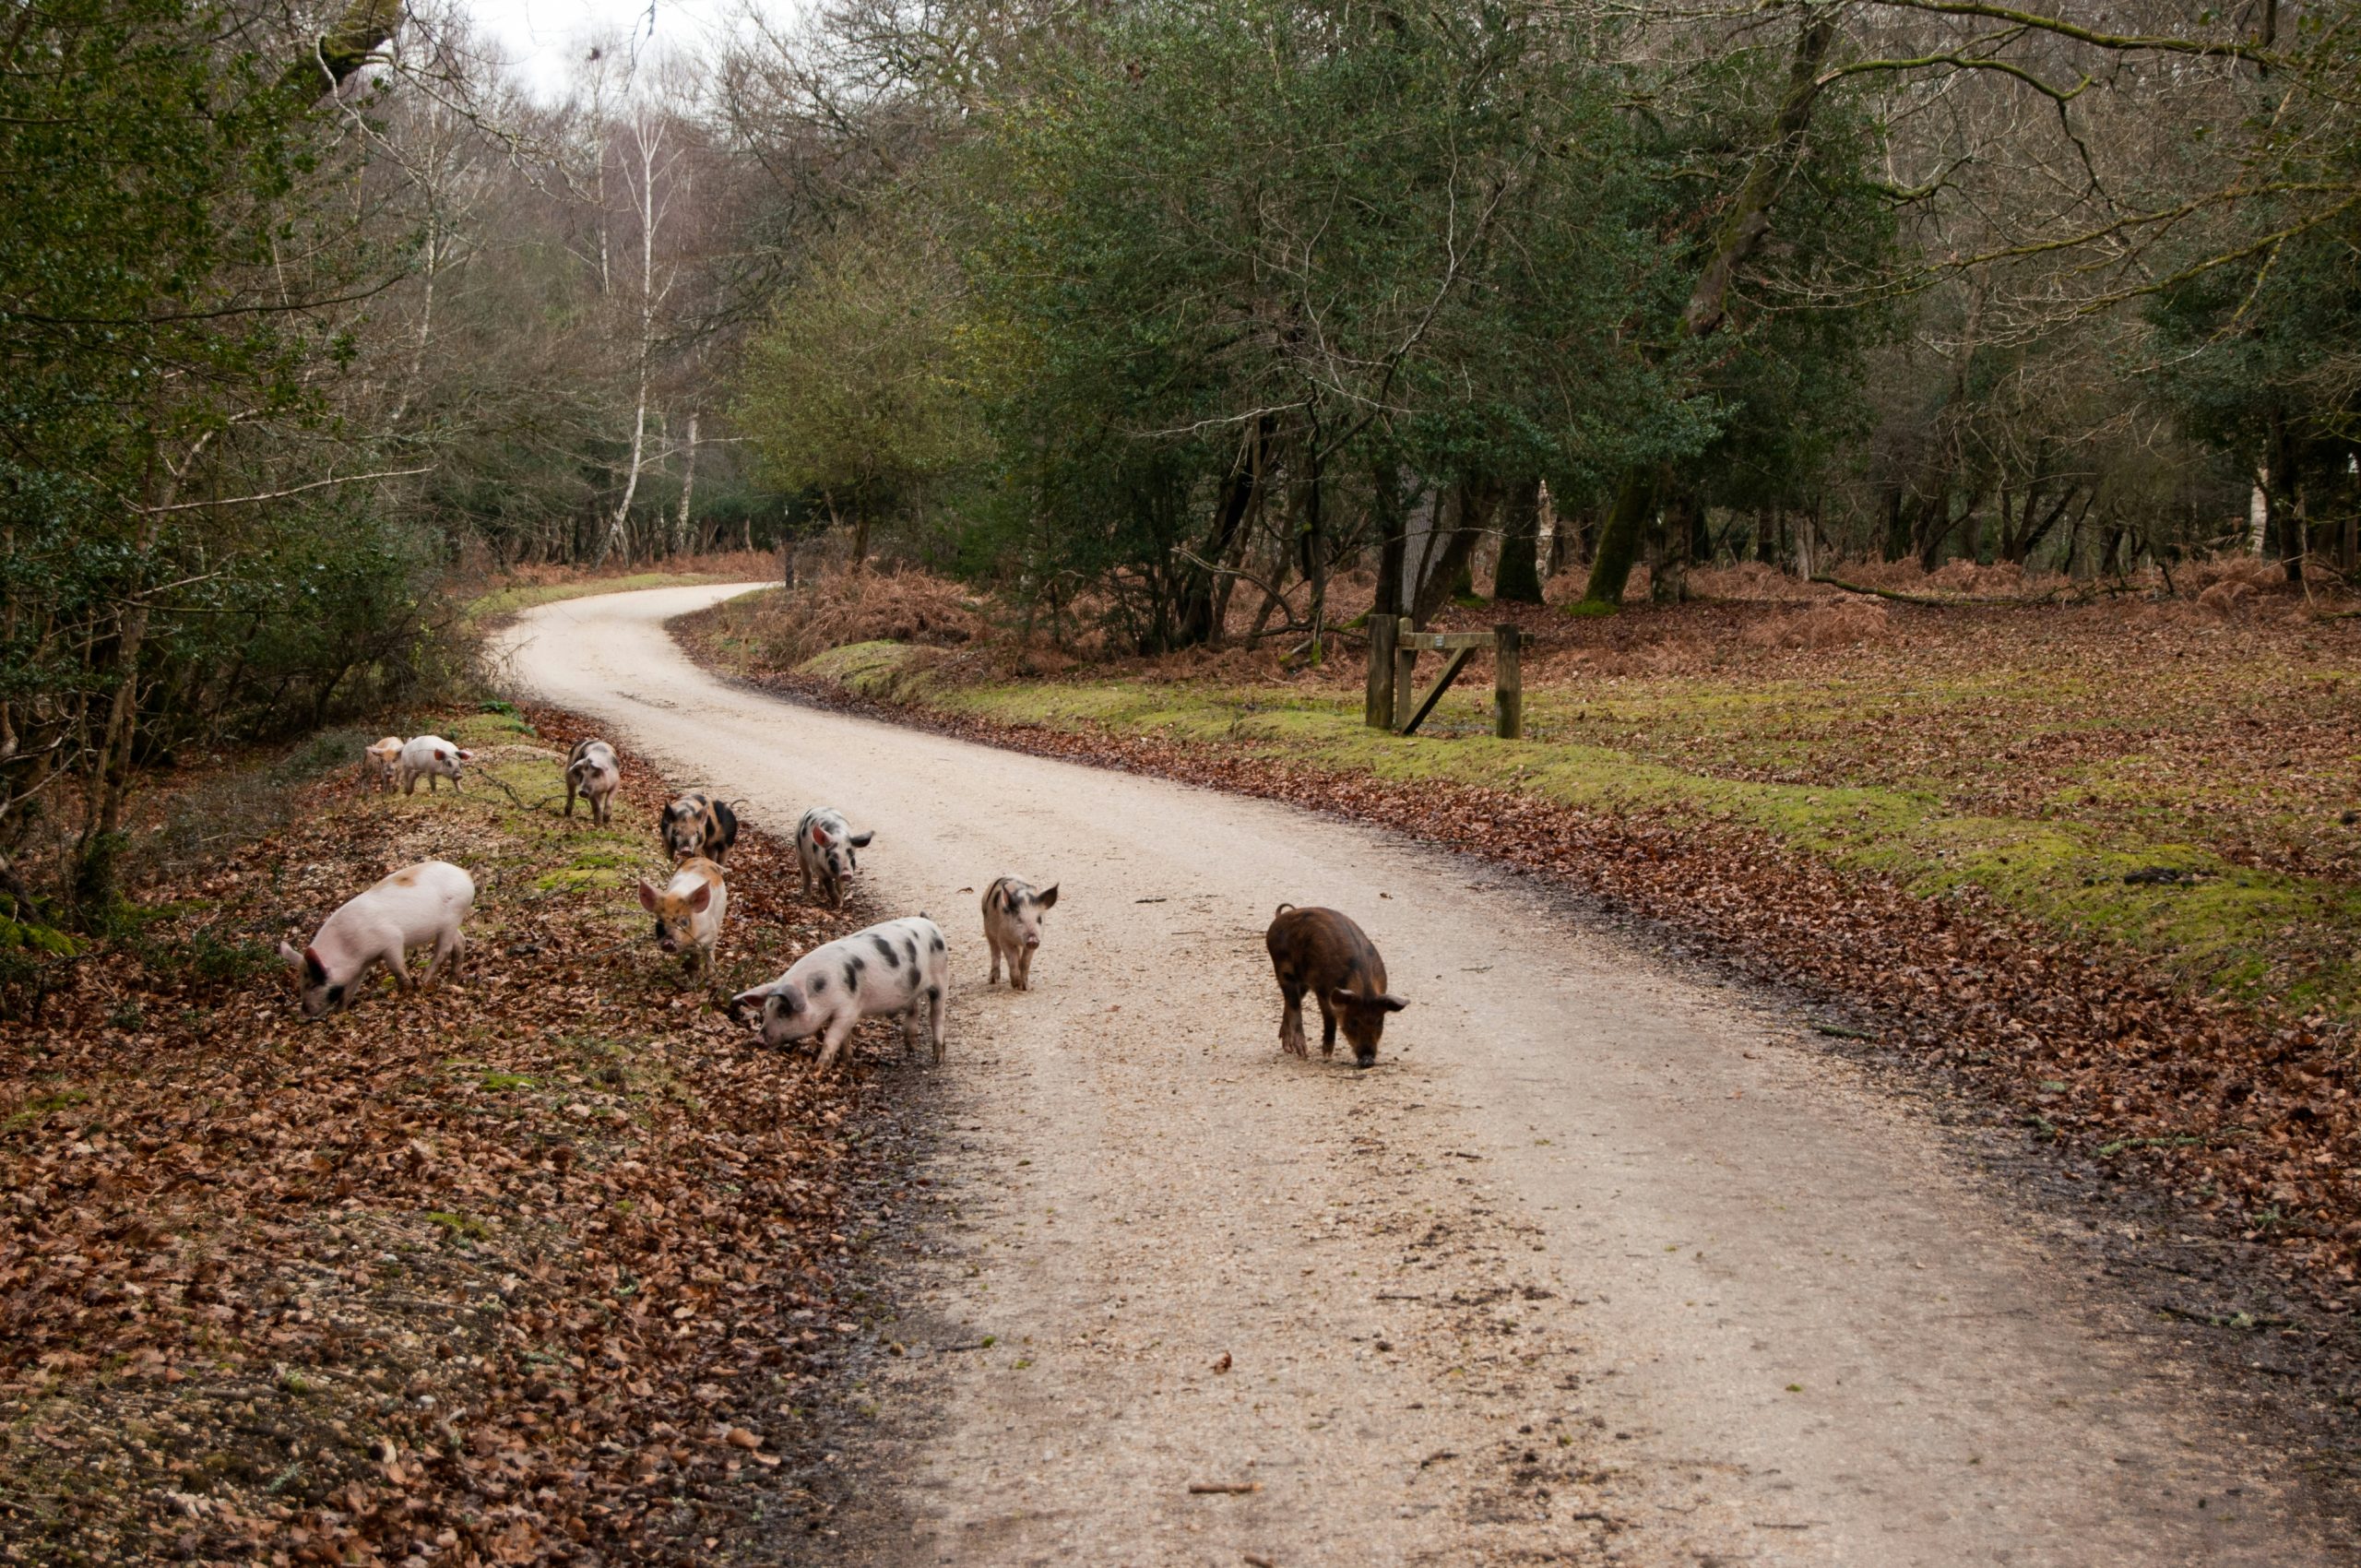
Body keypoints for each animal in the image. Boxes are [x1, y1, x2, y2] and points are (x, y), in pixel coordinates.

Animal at [278, 859, 475, 1018]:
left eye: (312, 985)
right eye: (301, 984)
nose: (302, 1015)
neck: (349, 949)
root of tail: (465, 873)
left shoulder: (391, 941)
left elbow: (397, 968)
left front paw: (405, 990)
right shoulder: (360, 967)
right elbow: (349, 990)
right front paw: (339, 1013)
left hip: (452, 917)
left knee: (444, 949)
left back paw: (423, 981)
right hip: (450, 924)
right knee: (460, 941)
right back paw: (451, 981)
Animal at [638, 856, 727, 976]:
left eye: (684, 921)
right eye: (659, 921)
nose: (668, 942)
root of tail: (704, 859)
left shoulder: (711, 929)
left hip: (720, 916)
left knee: (711, 950)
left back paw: (711, 973)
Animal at [729, 915, 948, 1074]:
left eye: (784, 1011)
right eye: (766, 1010)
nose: (758, 1039)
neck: (820, 988)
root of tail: (930, 923)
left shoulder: (849, 1008)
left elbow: (832, 1036)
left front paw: (819, 1068)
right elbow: (846, 1037)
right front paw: (847, 1061)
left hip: (941, 980)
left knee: (937, 1016)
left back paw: (937, 1059)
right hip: (912, 990)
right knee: (914, 1008)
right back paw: (910, 1049)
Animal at [1264, 903, 1407, 1068]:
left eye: (1379, 1022)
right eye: (1353, 1022)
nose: (1367, 1060)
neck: (1364, 988)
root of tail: (1279, 918)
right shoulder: (1322, 989)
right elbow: (1329, 1017)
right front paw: (1326, 1055)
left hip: (1302, 983)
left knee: (1290, 1002)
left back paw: (1287, 1047)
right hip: (1282, 968)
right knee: (1293, 1003)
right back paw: (1301, 1051)